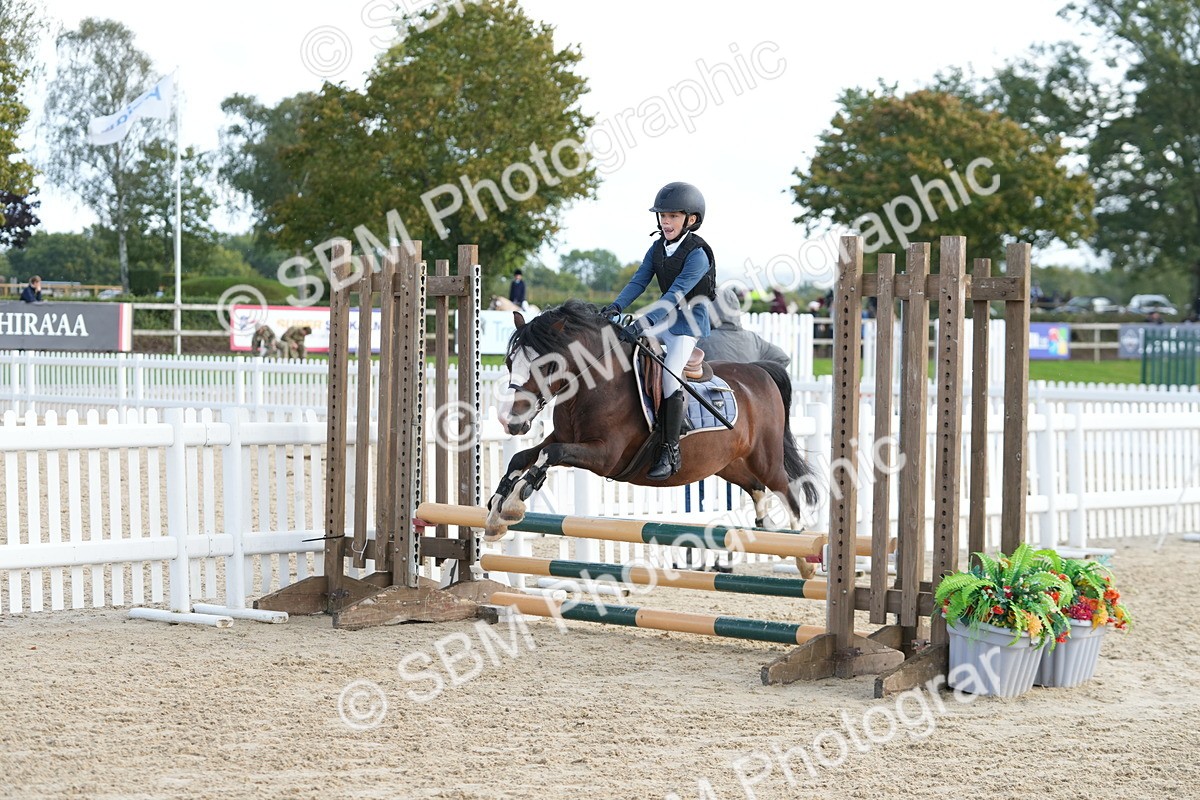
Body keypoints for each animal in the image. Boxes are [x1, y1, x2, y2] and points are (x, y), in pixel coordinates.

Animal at [486, 299, 821, 575]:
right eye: (509, 363)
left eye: (547, 366)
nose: (508, 420)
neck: (595, 385)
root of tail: (760, 372)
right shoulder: (562, 437)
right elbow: (522, 457)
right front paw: (495, 514)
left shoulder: (604, 456)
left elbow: (550, 455)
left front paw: (513, 504)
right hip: (726, 463)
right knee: (756, 488)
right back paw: (767, 530)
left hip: (764, 458)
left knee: (788, 494)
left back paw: (804, 558)